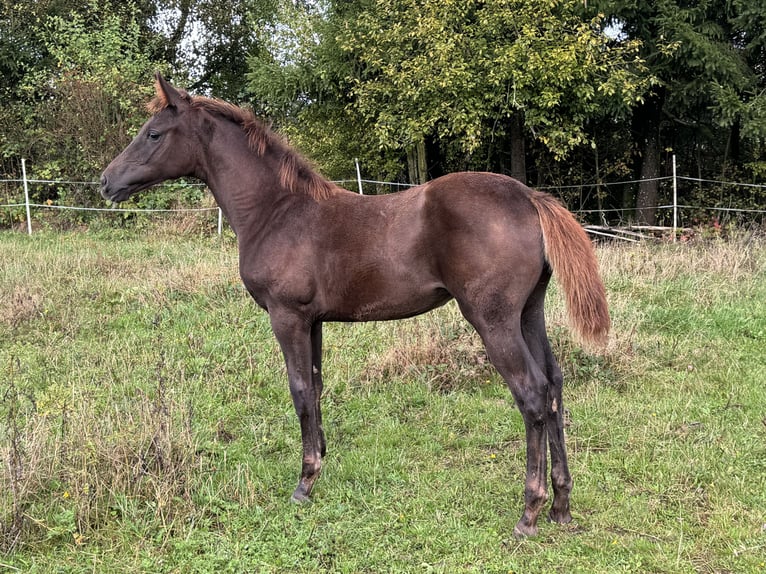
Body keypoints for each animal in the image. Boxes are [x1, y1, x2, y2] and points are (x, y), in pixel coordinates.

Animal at [102, 75, 608, 540]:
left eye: (153, 133)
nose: (107, 182)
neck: (277, 210)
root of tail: (528, 197)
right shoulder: (314, 321)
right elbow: (316, 387)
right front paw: (320, 459)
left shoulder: (286, 317)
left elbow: (299, 390)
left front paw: (304, 482)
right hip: (528, 314)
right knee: (554, 385)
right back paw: (562, 504)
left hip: (493, 320)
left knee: (532, 394)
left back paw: (529, 512)